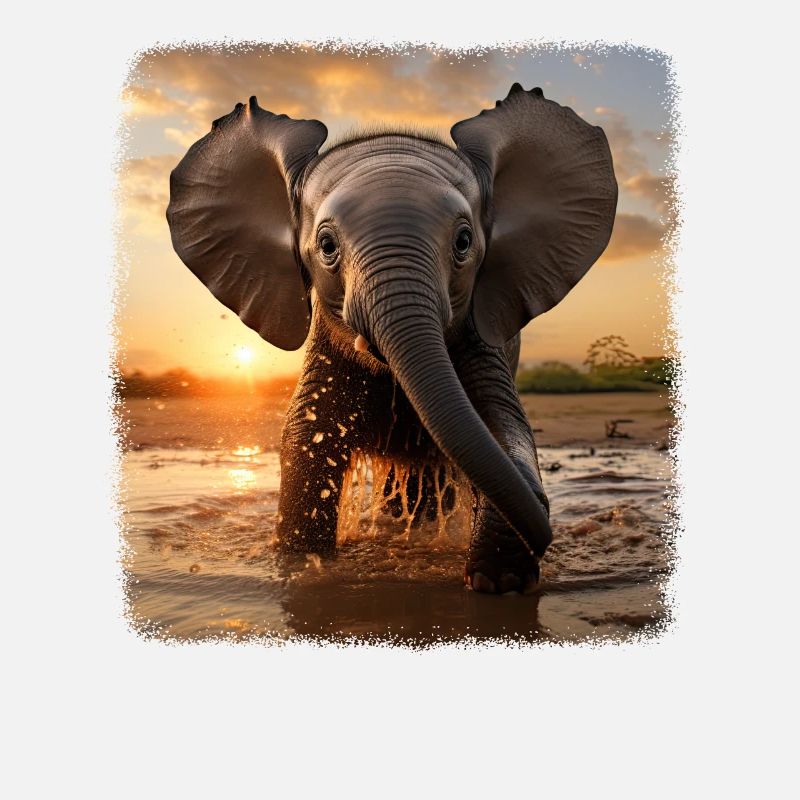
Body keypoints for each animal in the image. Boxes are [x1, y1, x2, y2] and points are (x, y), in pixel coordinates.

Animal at [166, 83, 617, 594]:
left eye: (464, 243)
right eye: (326, 247)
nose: (547, 533)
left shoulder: (485, 345)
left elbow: (504, 429)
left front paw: (497, 583)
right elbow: (305, 439)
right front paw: (301, 565)